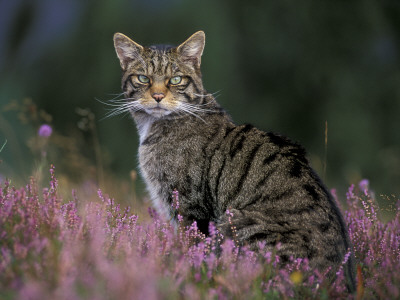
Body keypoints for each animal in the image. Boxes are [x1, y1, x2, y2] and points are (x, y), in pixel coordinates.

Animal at [111, 31, 354, 290]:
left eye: (175, 80)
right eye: (143, 78)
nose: (157, 96)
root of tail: (336, 281)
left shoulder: (190, 209)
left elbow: (191, 249)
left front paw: (185, 274)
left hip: (235, 222)